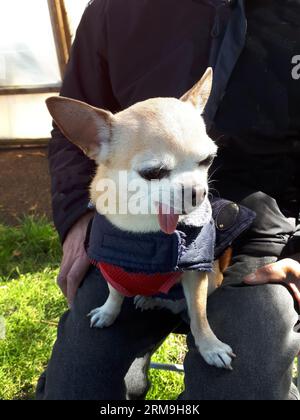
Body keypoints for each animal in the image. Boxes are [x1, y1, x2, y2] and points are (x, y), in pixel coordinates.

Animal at [46, 69, 234, 370]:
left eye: (207, 160)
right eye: (153, 173)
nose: (198, 191)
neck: (146, 230)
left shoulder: (195, 274)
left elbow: (199, 314)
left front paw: (209, 346)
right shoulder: (111, 265)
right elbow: (114, 292)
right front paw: (108, 312)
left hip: (211, 279)